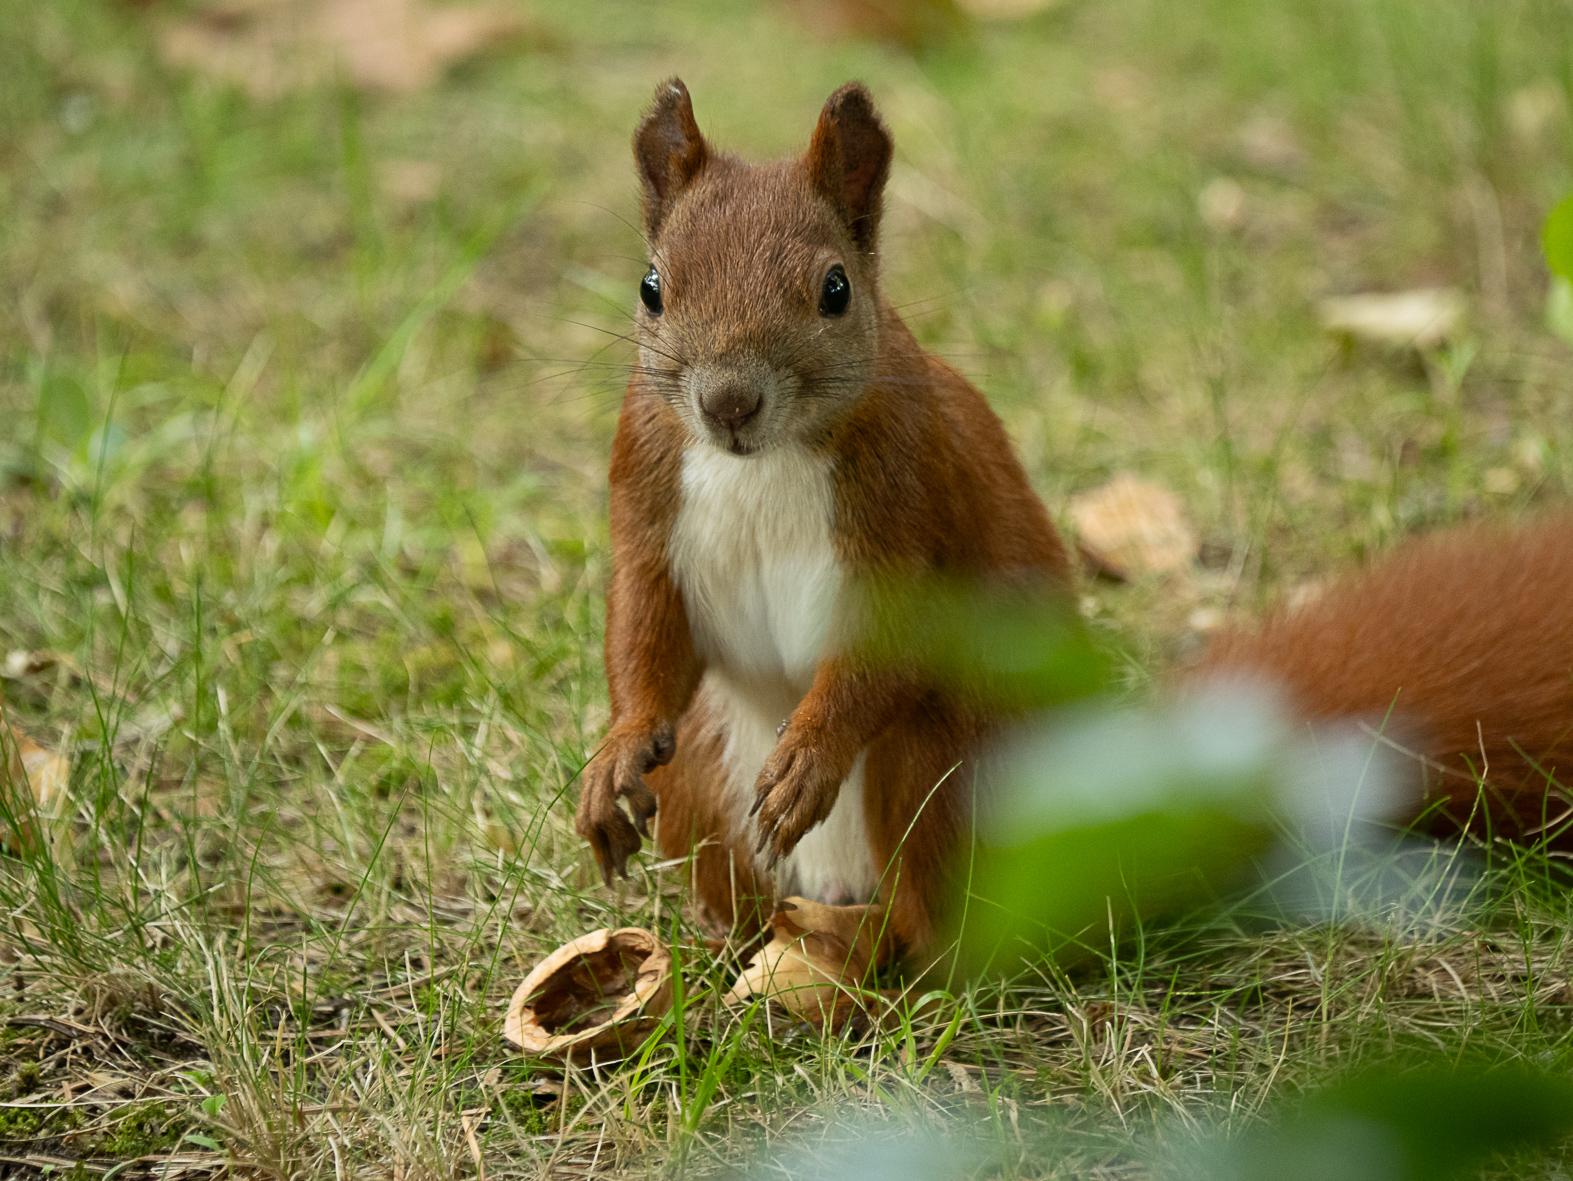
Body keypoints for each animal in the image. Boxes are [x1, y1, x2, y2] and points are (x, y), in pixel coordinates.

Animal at [573, 77, 1573, 966]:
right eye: (651, 286)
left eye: (834, 289)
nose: (728, 403)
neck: (764, 461)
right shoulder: (645, 493)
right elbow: (643, 626)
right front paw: (613, 757)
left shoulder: (912, 498)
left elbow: (884, 648)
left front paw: (809, 757)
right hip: (704, 771)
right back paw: (732, 943)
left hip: (948, 769)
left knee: (953, 930)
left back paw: (892, 969)